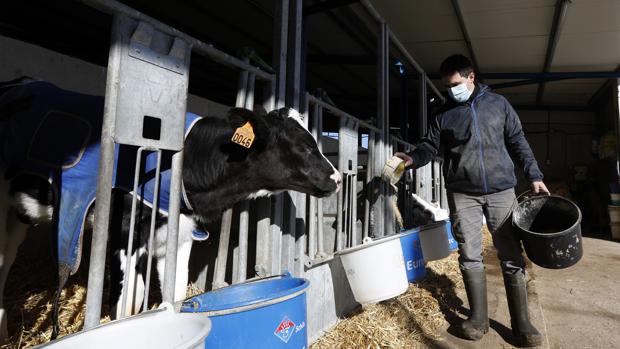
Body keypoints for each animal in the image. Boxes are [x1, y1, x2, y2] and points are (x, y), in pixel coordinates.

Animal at [0, 77, 342, 340]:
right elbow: (127, 308)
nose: (337, 178)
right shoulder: (124, 235)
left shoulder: (180, 235)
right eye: (303, 146)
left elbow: (175, 295)